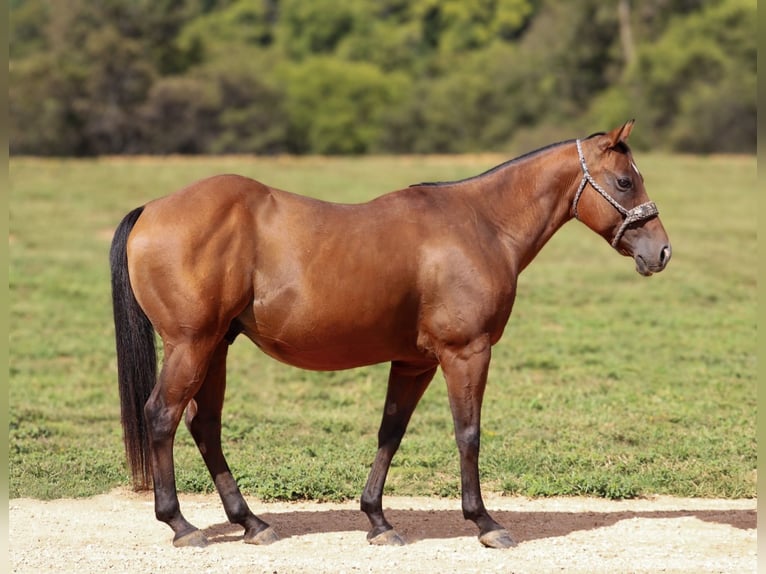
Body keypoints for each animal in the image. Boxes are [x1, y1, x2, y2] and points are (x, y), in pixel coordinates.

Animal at [110, 120, 671, 549]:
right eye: (625, 182)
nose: (661, 251)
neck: (482, 225)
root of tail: (152, 208)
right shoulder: (465, 353)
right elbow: (468, 434)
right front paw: (485, 523)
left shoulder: (414, 362)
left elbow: (390, 433)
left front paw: (378, 521)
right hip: (191, 345)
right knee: (161, 416)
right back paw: (182, 526)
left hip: (215, 348)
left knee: (204, 425)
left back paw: (252, 522)